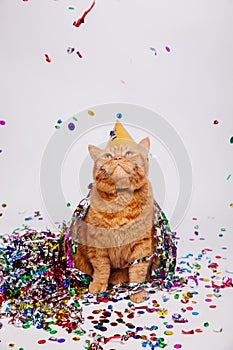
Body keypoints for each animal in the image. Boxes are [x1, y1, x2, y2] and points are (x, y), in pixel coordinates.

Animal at [71, 137, 158, 304]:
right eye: (108, 156)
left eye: (128, 153)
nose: (117, 158)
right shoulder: (97, 243)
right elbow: (101, 267)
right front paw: (99, 284)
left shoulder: (141, 244)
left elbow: (138, 270)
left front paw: (137, 291)